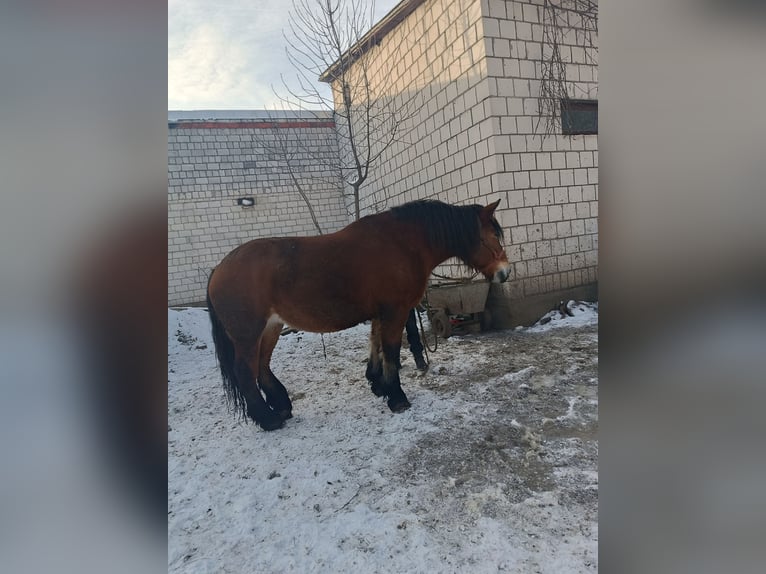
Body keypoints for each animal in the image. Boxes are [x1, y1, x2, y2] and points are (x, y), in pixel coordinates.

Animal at [206, 199, 511, 431]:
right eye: (491, 236)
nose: (505, 272)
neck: (403, 243)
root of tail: (219, 269)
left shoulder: (379, 313)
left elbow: (375, 344)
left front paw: (378, 384)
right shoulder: (395, 311)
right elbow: (391, 350)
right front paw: (396, 397)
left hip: (271, 328)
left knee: (262, 367)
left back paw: (281, 407)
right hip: (248, 335)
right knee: (245, 372)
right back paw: (268, 419)